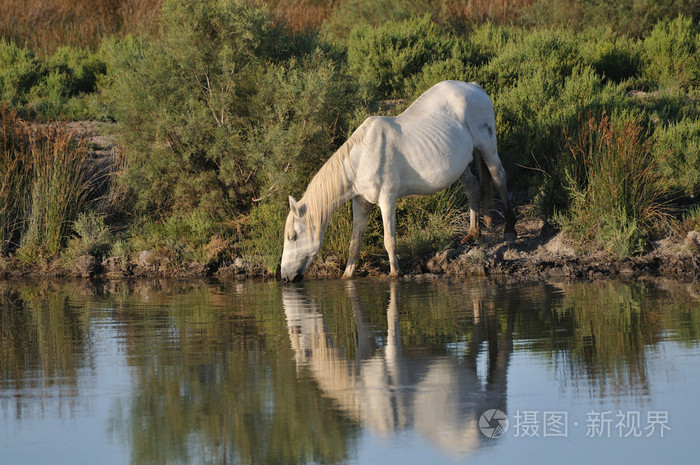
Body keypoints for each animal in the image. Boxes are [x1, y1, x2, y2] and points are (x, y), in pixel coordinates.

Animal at [281, 80, 516, 283]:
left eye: (292, 236)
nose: (284, 277)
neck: (361, 158)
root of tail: (475, 87)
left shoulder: (387, 199)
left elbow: (389, 240)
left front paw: (395, 273)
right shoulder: (360, 202)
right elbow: (355, 243)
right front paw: (347, 276)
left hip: (487, 147)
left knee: (499, 177)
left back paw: (509, 229)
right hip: (460, 165)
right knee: (473, 188)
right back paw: (473, 234)